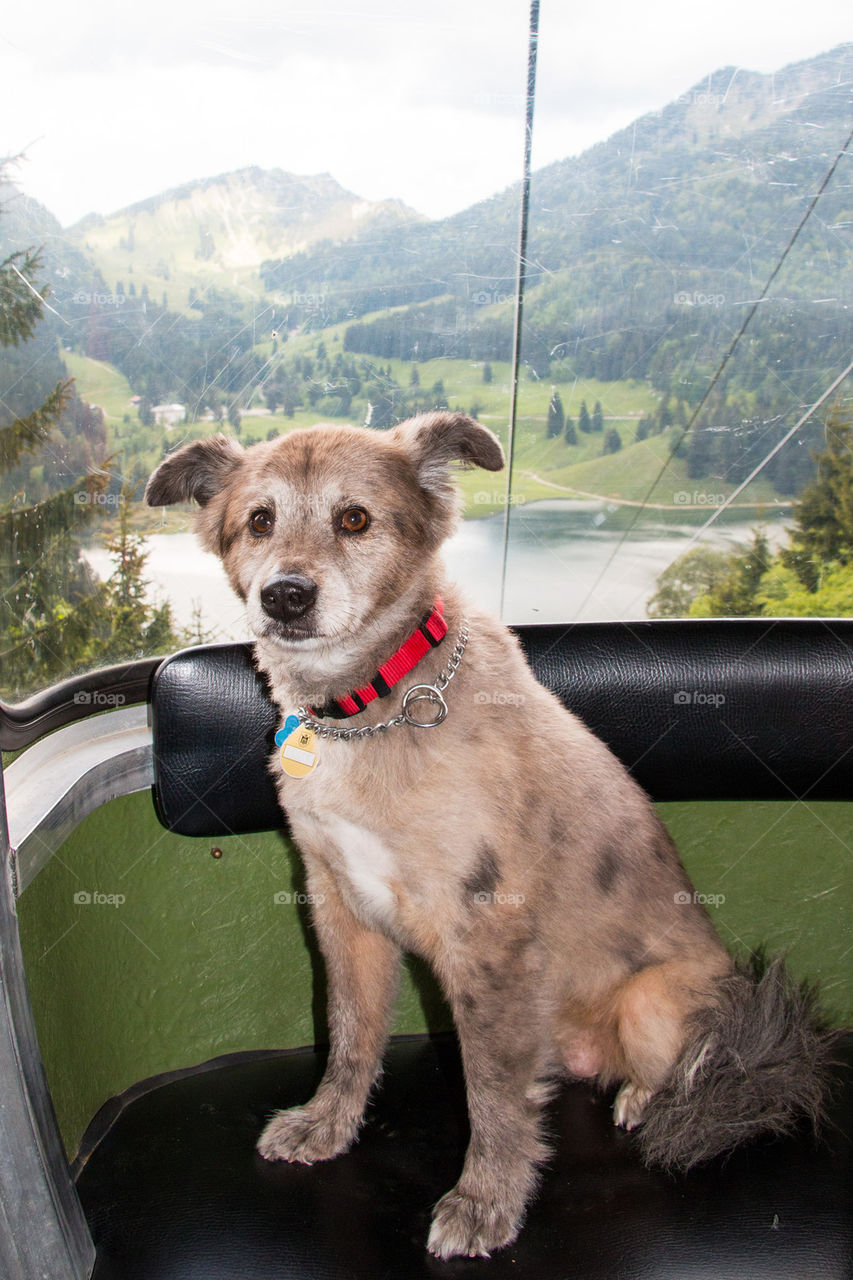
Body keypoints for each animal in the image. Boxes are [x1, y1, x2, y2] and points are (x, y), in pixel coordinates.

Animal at [146, 412, 829, 1259]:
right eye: (259, 521)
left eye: (354, 519)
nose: (287, 597)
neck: (373, 710)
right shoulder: (342, 915)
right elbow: (350, 1038)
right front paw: (326, 1125)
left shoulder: (488, 938)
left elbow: (493, 1097)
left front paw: (484, 1202)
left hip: (653, 1001)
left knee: (705, 1067)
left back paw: (649, 1096)